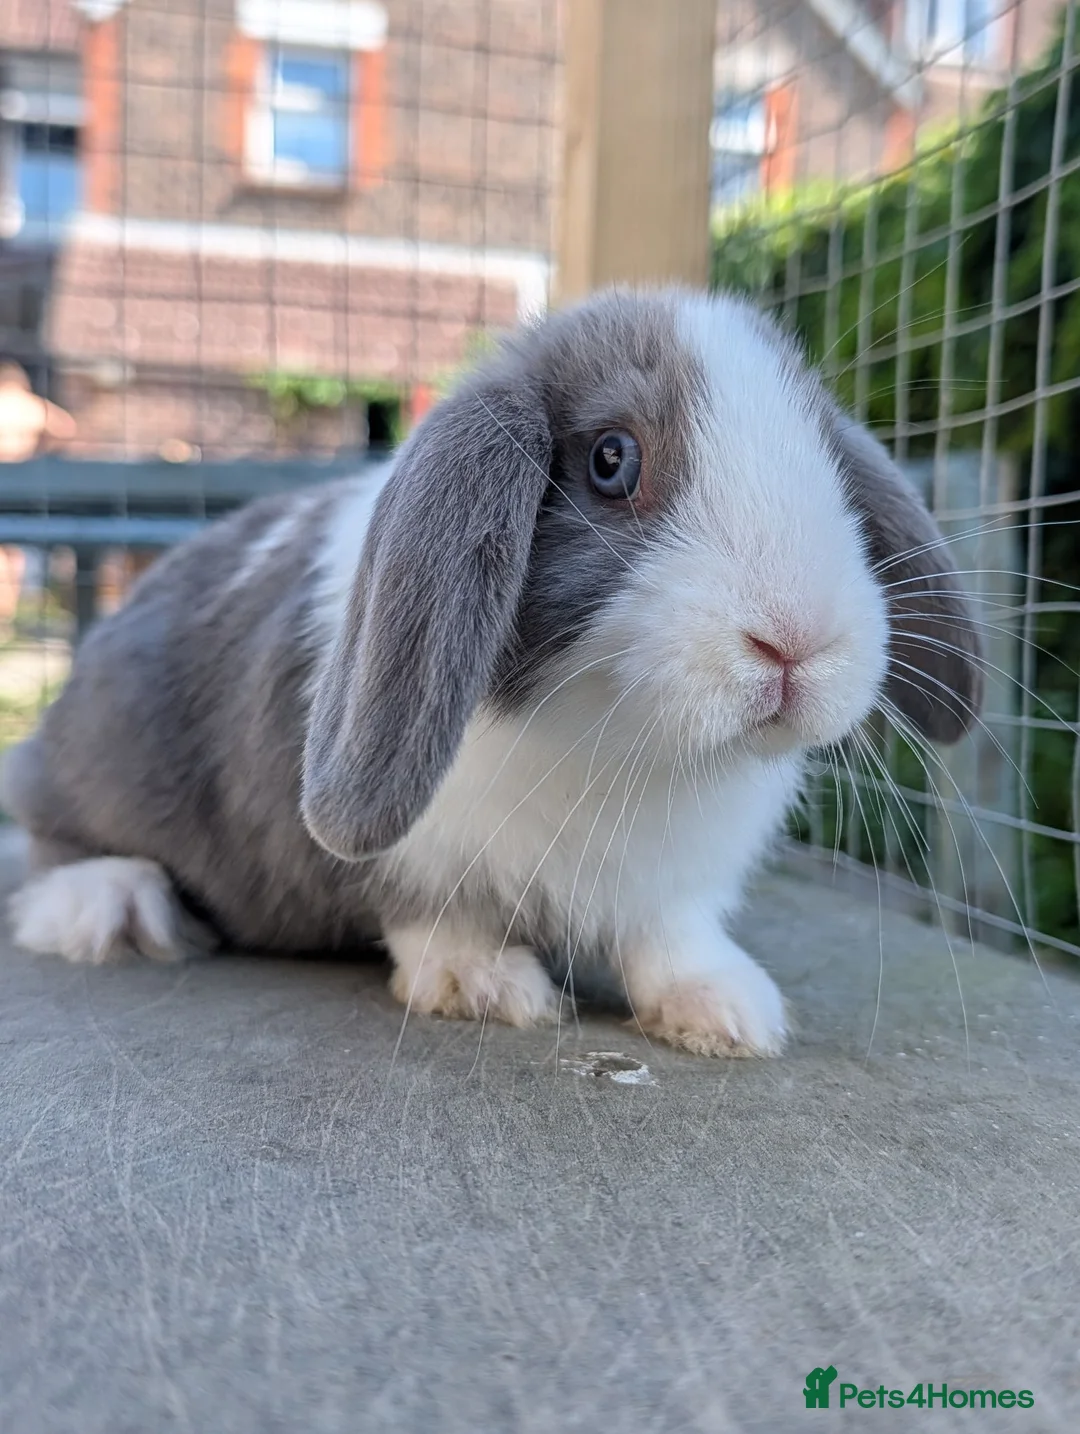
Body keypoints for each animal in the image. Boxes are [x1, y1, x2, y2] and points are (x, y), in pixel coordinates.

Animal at [1, 287, 980, 1056]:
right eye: (611, 460)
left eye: (829, 462)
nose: (796, 643)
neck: (624, 745)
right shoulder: (417, 862)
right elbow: (432, 917)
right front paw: (488, 988)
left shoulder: (673, 891)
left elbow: (673, 941)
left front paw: (731, 1013)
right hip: (91, 765)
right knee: (55, 849)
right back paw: (112, 907)